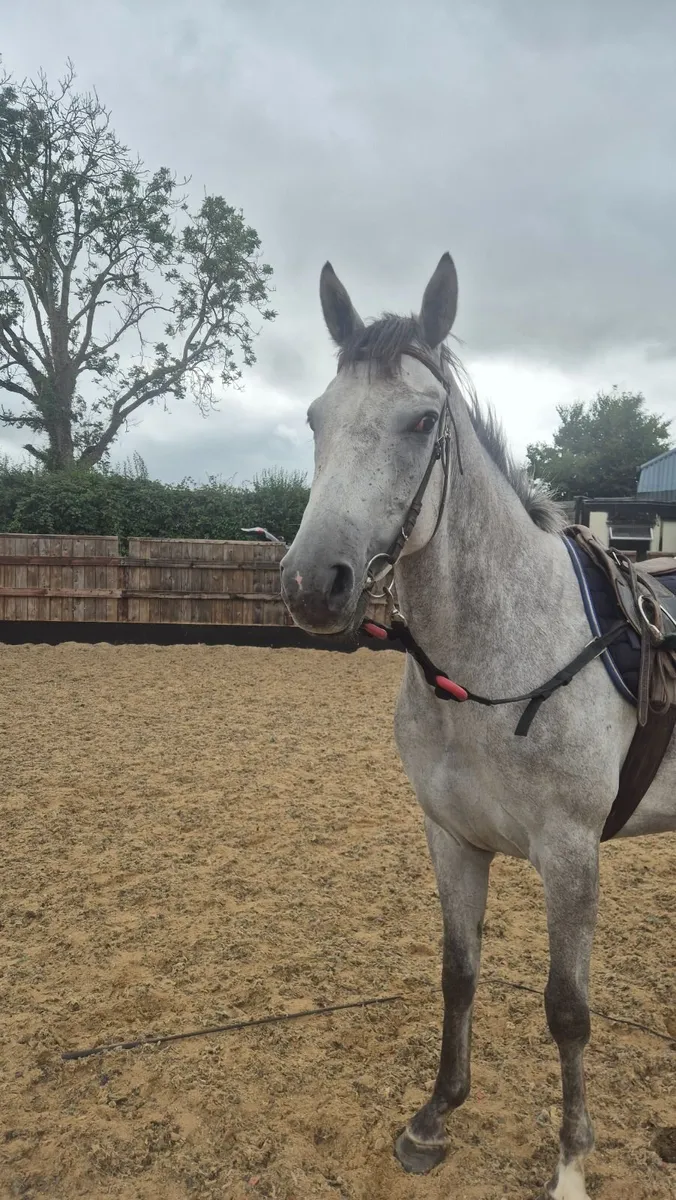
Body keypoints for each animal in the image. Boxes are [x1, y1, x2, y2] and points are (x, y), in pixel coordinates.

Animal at [279, 252, 676, 1200]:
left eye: (423, 421)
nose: (313, 583)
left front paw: (570, 1165)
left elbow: (567, 1011)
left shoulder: (571, 853)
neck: (494, 660)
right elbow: (458, 972)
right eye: (315, 417)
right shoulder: (452, 837)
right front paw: (433, 1118)